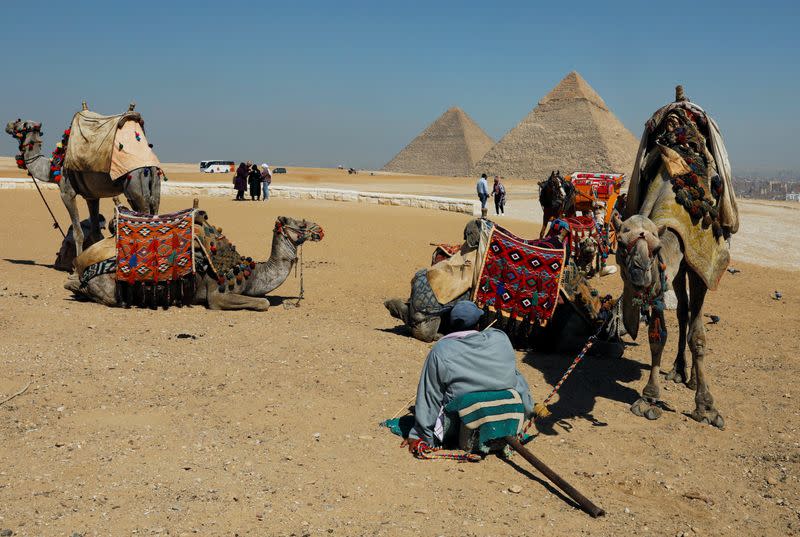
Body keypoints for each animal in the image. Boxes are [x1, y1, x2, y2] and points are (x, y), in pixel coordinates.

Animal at [6, 112, 161, 256]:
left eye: (22, 123)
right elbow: (95, 233)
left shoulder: (67, 193)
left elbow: (78, 233)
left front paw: (76, 266)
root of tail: (150, 165)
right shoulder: (92, 196)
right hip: (153, 190)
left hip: (135, 188)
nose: (8, 124)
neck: (54, 167)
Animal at [65, 211, 322, 308]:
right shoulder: (217, 294)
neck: (250, 273)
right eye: (301, 224)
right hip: (109, 288)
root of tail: (81, 263)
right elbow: (263, 303)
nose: (319, 230)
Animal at [616, 86, 740, 430]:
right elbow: (658, 335)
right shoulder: (664, 276)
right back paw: (677, 370)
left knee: (691, 315)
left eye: (655, 247)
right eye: (621, 245)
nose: (639, 273)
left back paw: (693, 379)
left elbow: (699, 335)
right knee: (683, 312)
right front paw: (649, 398)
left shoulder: (698, 266)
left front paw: (706, 406)